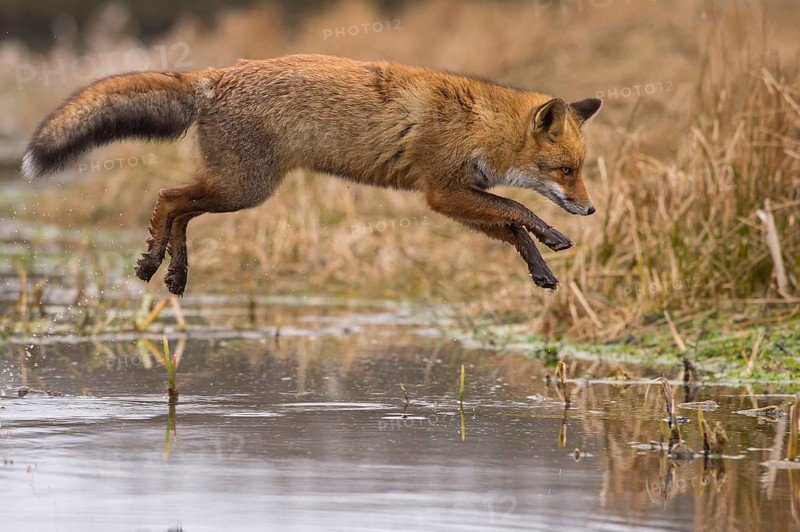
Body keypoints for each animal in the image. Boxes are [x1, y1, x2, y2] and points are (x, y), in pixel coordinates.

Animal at [22, 54, 601, 296]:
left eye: (582, 171)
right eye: (567, 170)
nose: (590, 208)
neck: (478, 123)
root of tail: (217, 74)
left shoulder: (459, 196)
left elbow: (512, 229)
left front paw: (541, 271)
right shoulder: (442, 192)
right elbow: (519, 210)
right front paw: (554, 237)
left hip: (234, 188)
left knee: (180, 209)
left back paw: (174, 272)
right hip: (244, 189)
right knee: (167, 198)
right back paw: (151, 263)